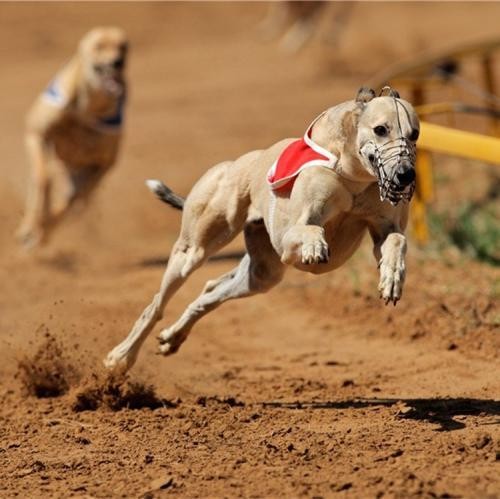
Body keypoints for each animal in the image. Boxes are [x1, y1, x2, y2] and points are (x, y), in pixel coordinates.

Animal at [17, 26, 129, 249]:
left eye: (124, 46)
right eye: (99, 46)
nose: (118, 62)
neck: (87, 107)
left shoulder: (103, 164)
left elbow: (71, 200)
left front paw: (41, 230)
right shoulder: (36, 134)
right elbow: (43, 179)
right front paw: (32, 226)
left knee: (73, 201)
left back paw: (43, 231)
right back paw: (31, 226)